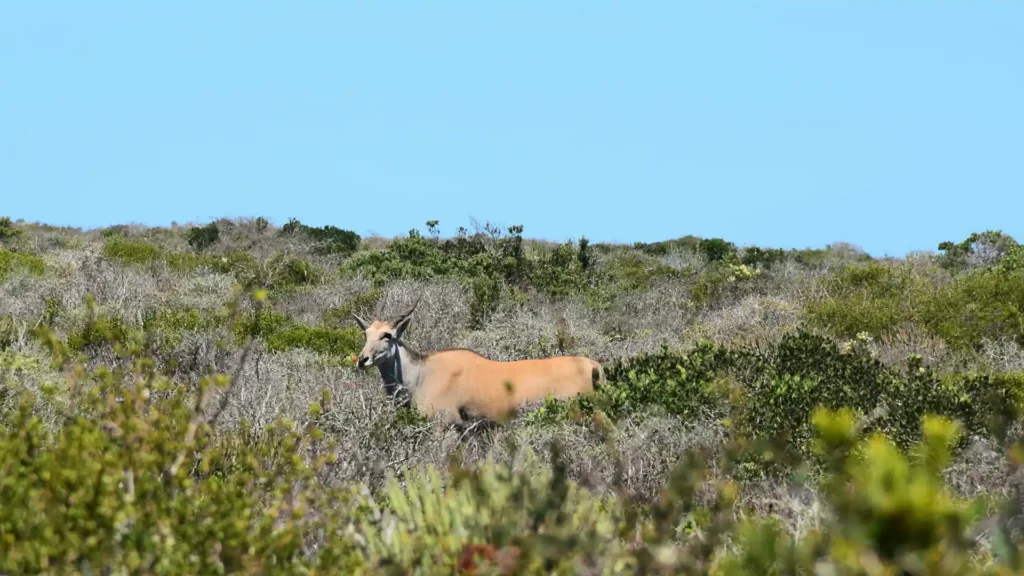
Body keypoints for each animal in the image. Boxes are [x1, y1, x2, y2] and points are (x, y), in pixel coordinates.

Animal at [356, 295, 602, 422]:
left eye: (387, 335)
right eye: (366, 334)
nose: (362, 360)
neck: (422, 375)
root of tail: (591, 365)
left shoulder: (445, 424)